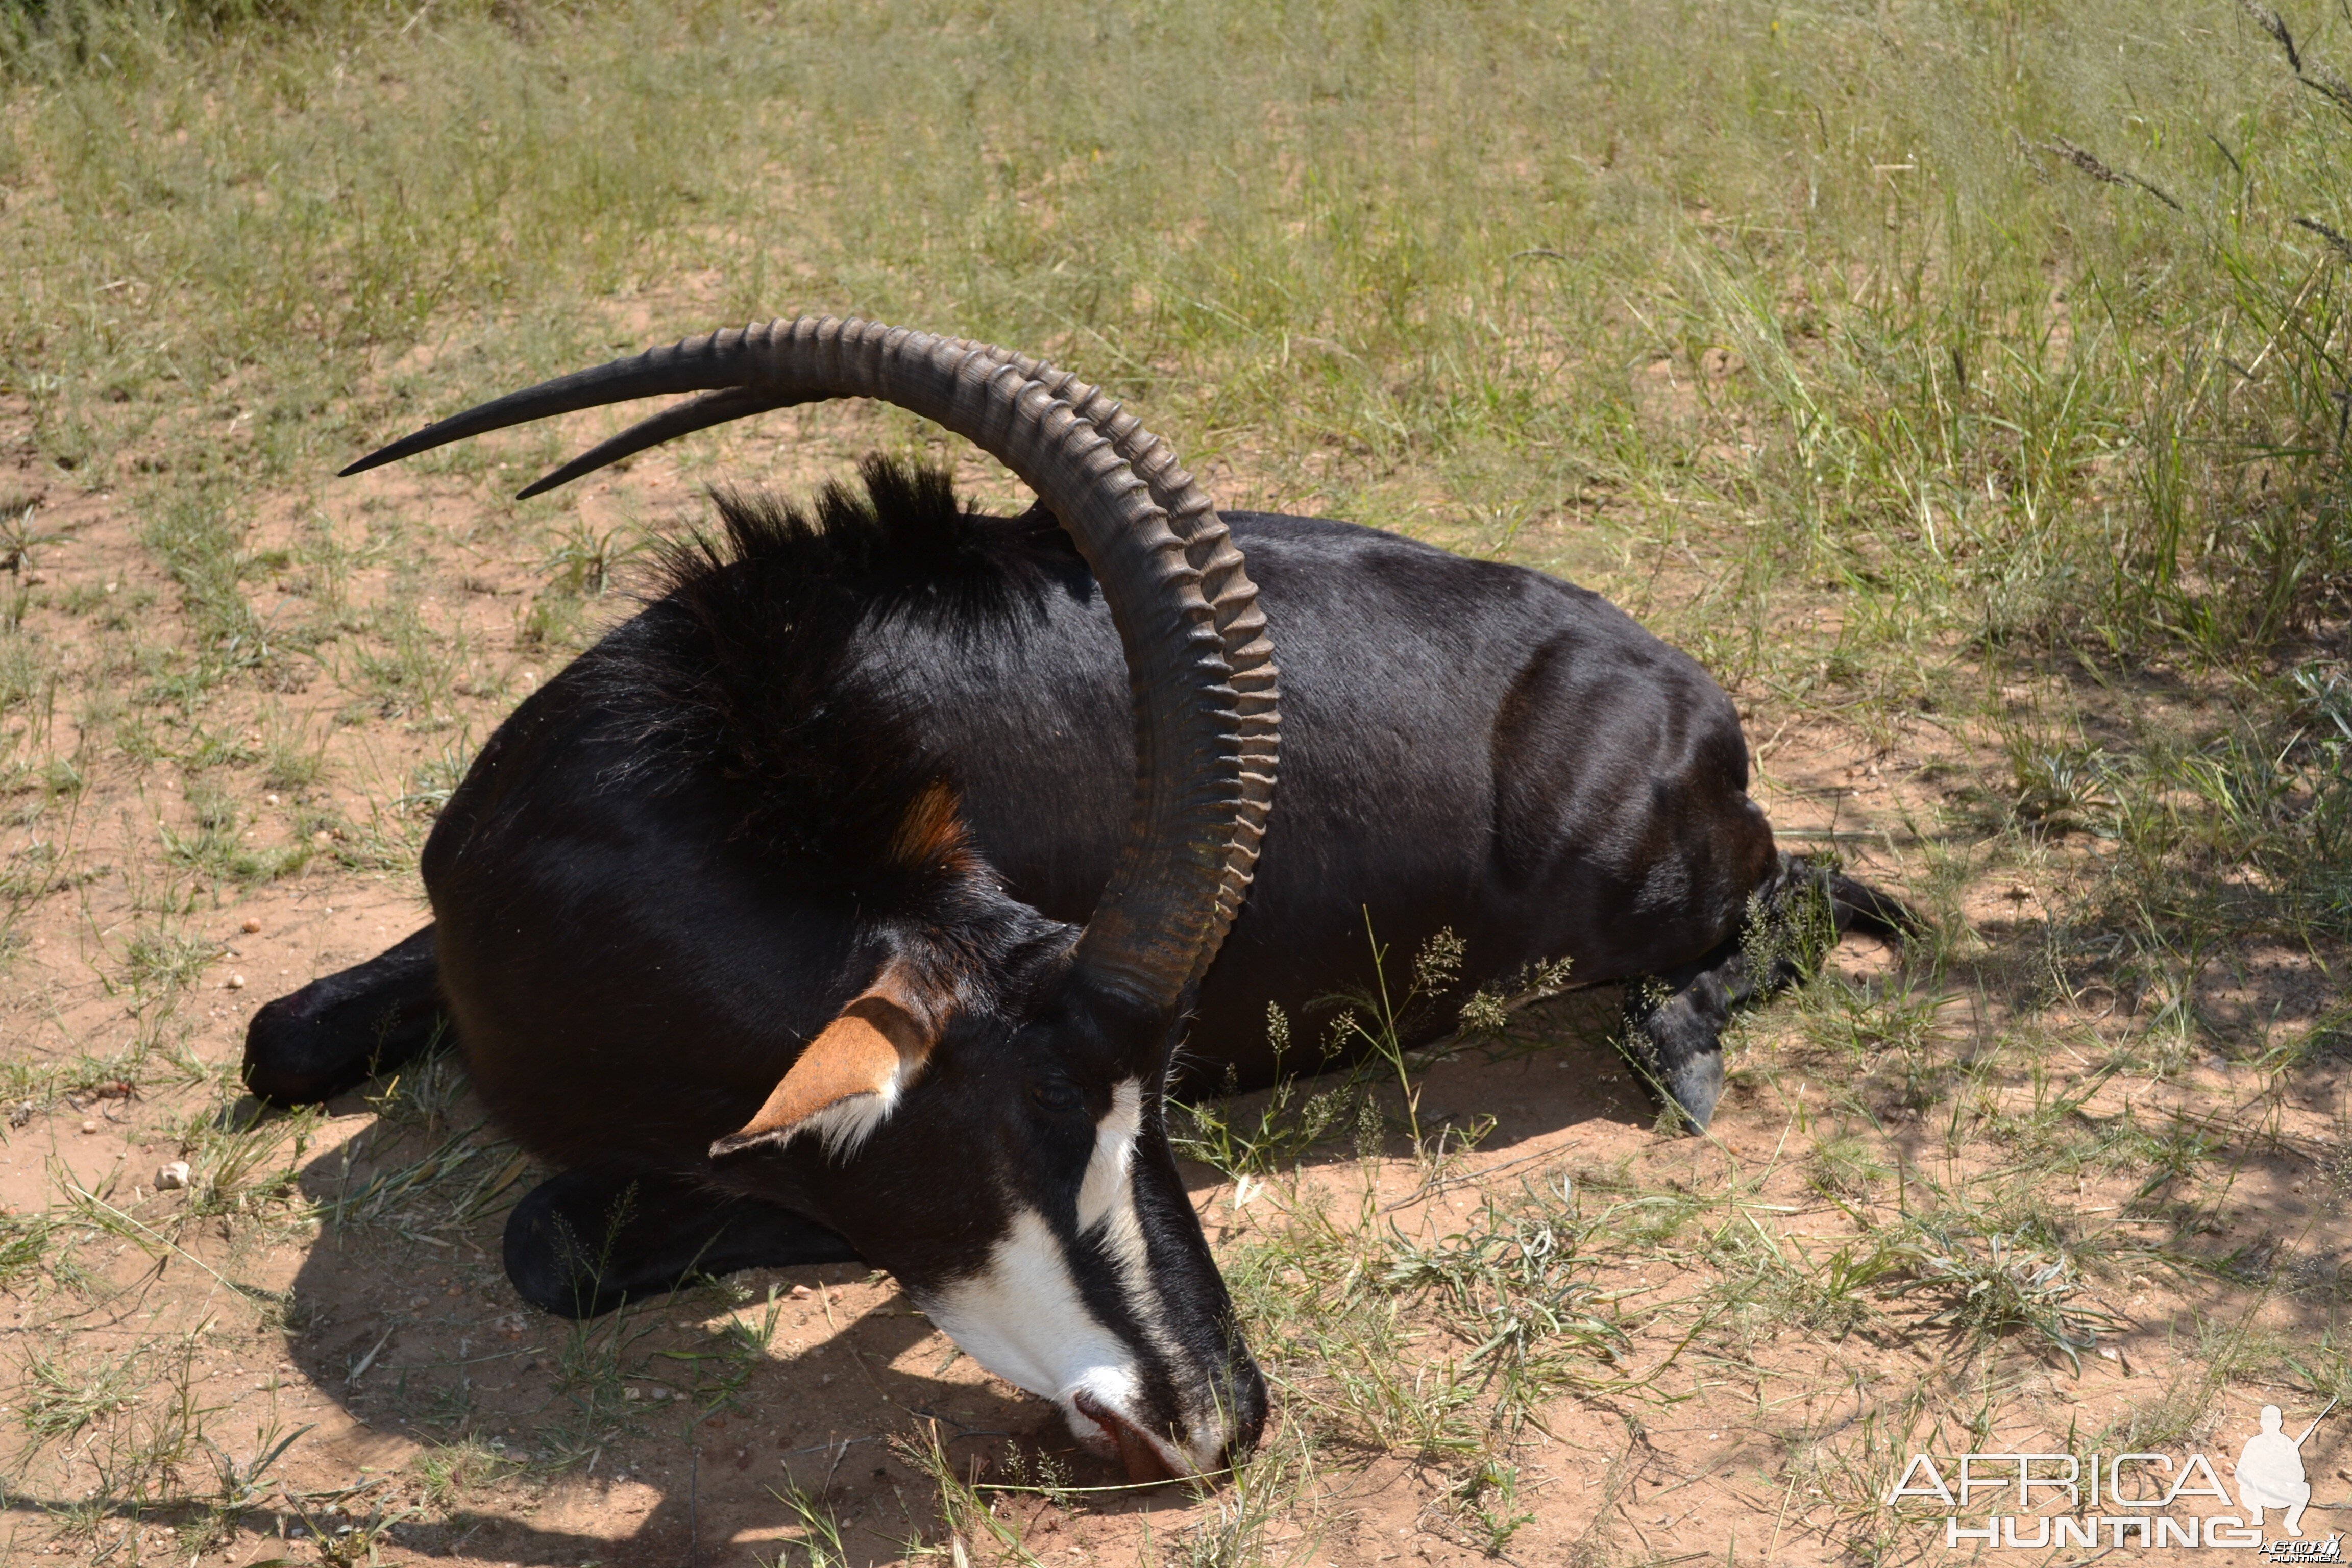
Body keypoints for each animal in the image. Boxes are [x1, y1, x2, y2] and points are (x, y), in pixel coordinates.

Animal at [248, 315, 1900, 1476]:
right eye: (1019, 1132)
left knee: (1817, 891)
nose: (1219, 1417)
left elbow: (560, 1233)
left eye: (1156, 1109)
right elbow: (279, 1035)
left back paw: (1679, 1047)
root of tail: (1690, 696)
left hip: (1638, 896)